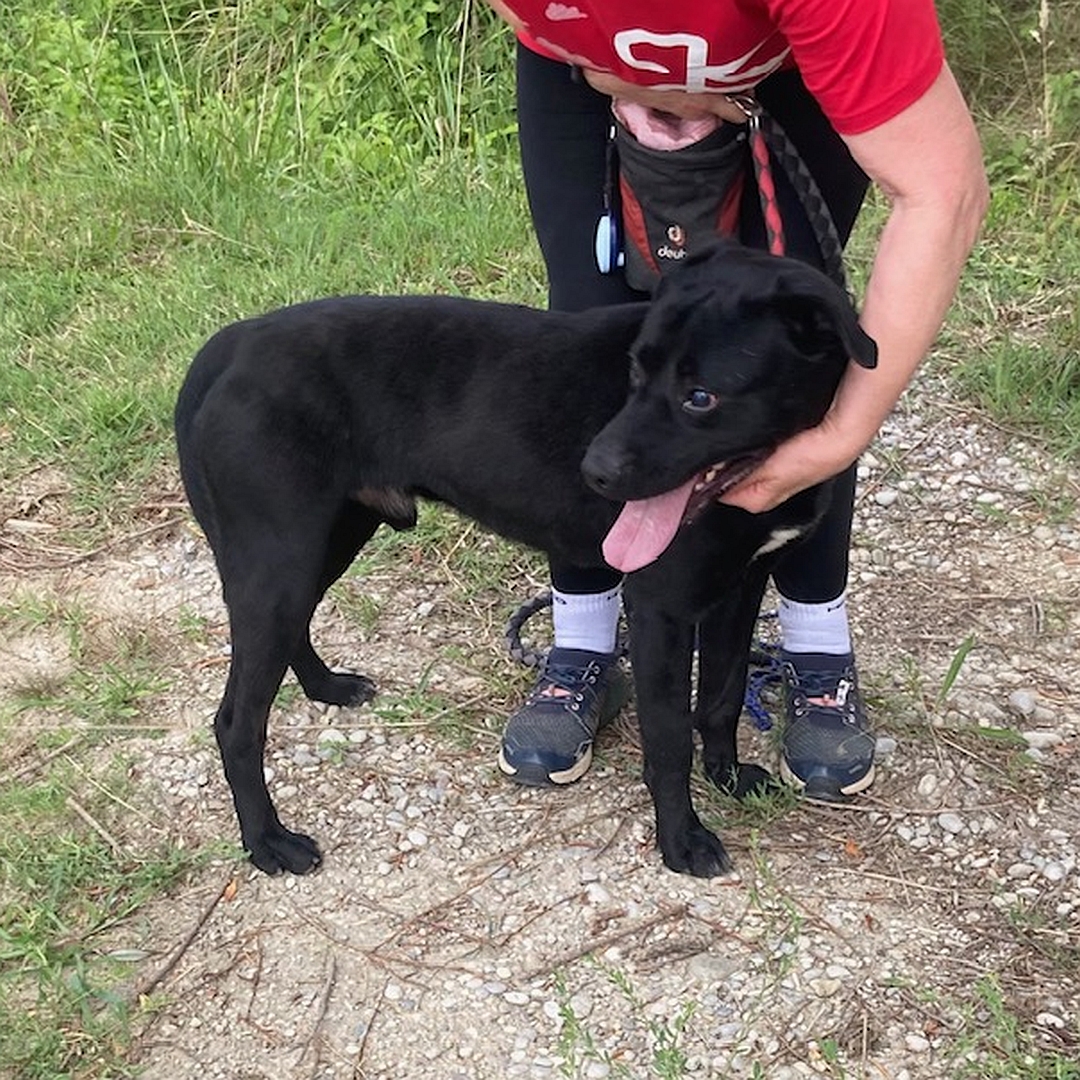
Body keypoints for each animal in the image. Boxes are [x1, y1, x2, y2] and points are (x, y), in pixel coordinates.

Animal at [172, 243, 872, 876]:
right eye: (636, 371)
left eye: (701, 396)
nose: (594, 473)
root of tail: (232, 343)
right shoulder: (662, 609)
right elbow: (669, 737)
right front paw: (682, 842)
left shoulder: (740, 587)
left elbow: (721, 699)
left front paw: (726, 778)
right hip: (281, 556)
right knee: (235, 722)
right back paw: (268, 843)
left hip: (324, 541)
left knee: (292, 634)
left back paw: (327, 688)